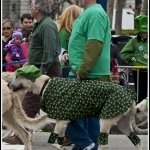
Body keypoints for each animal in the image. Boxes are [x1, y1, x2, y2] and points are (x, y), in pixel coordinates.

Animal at [9, 73, 148, 150]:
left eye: (17, 76)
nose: (8, 84)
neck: (45, 84)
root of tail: (130, 96)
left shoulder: (62, 121)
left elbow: (53, 143)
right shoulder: (63, 121)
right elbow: (59, 140)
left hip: (106, 120)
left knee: (103, 144)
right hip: (123, 123)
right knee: (137, 141)